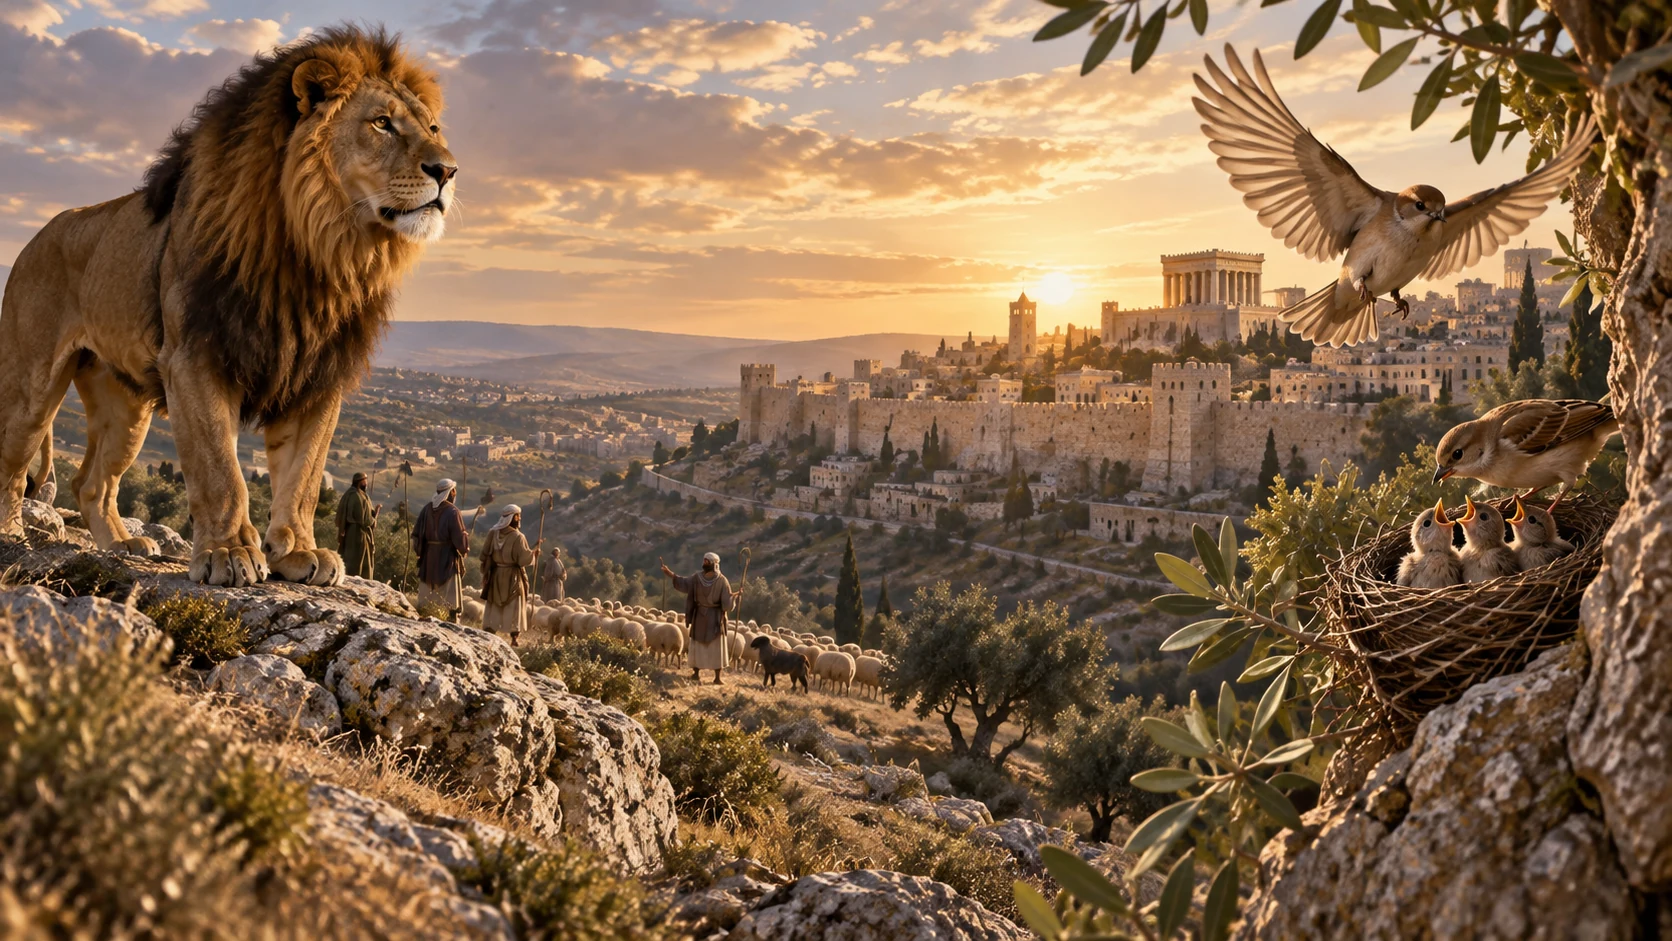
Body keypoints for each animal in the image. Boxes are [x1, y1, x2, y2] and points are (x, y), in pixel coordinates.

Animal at [0, 26, 457, 587]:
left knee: (92, 482)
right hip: (32, 388)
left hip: (125, 404)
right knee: (12, 462)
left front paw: (296, 551)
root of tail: (39, 234)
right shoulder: (196, 357)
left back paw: (123, 544)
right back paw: (11, 535)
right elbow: (221, 470)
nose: (448, 169)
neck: (320, 251)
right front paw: (229, 553)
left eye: (433, 127)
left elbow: (304, 477)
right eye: (381, 123)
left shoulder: (319, 375)